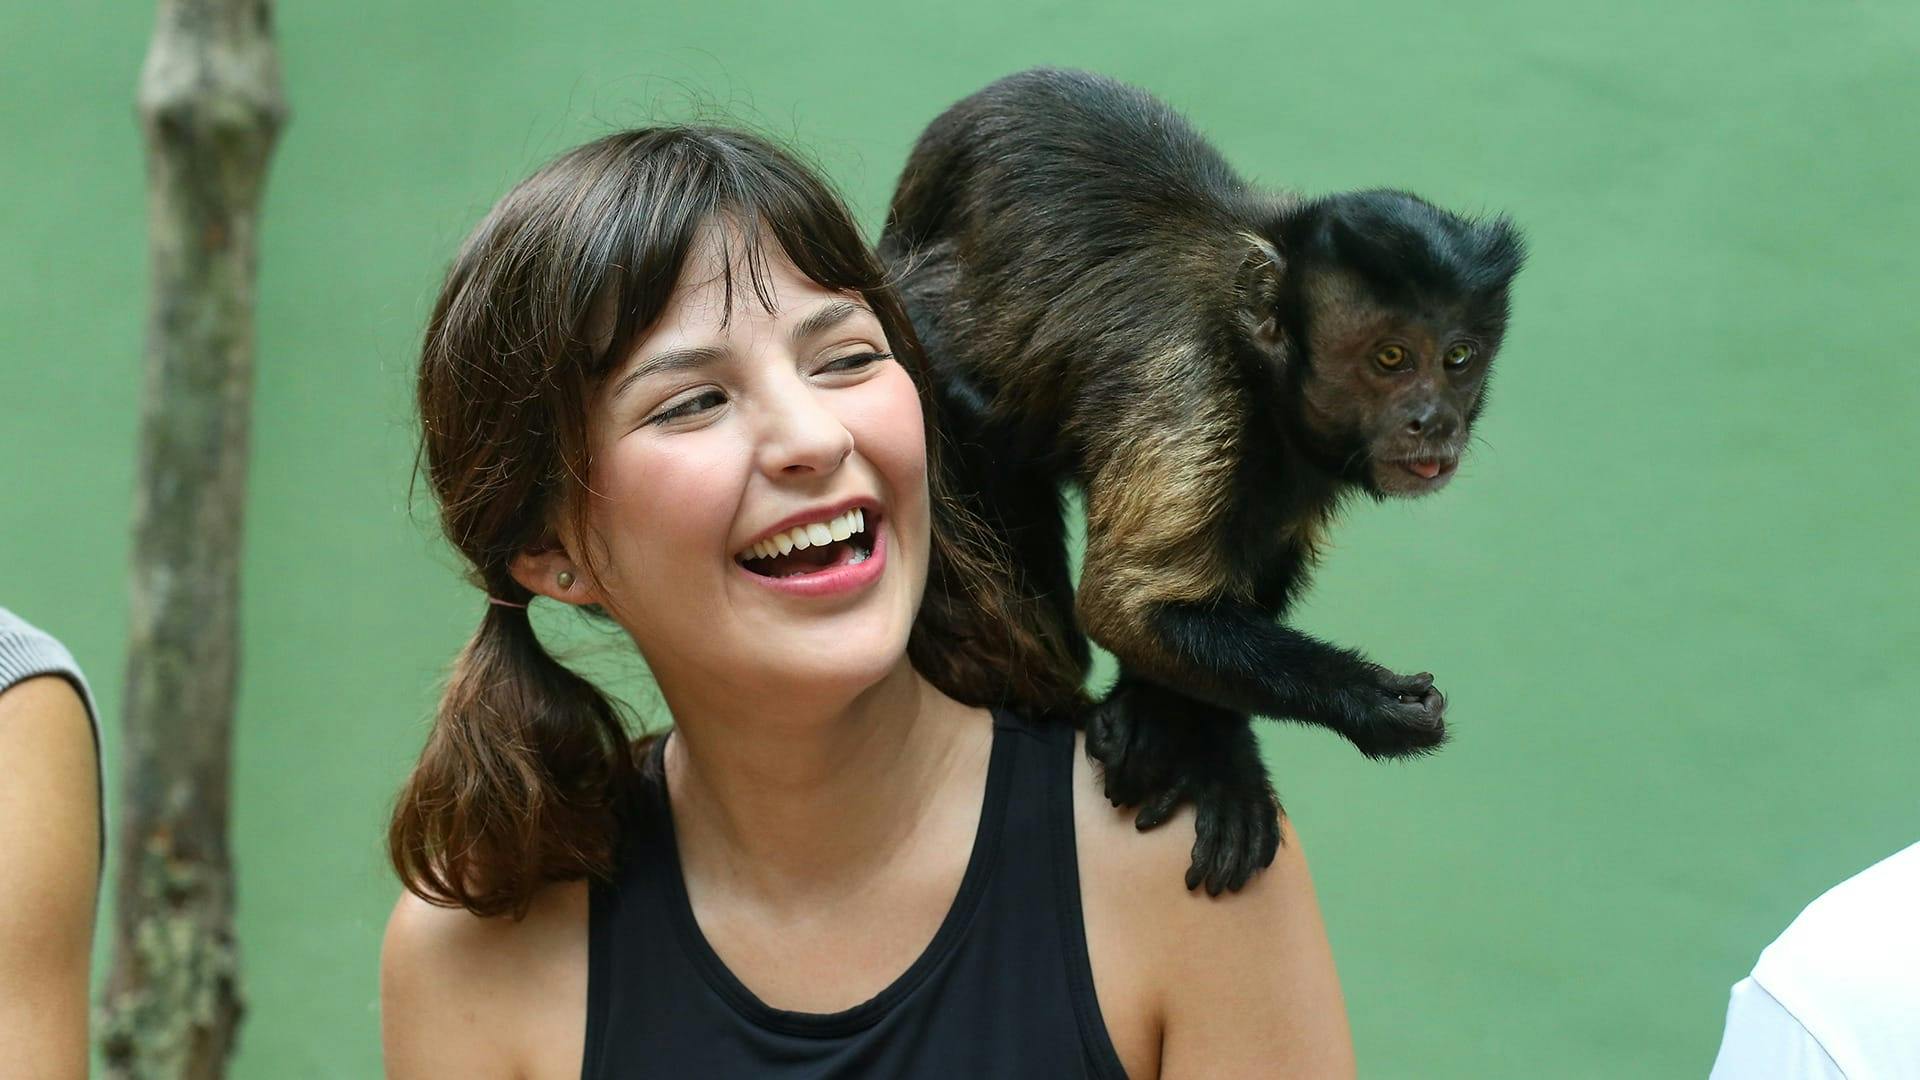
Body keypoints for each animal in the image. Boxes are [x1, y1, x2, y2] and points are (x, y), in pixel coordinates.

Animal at [877, 68, 1526, 894]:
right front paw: (1366, 704)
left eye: (1458, 358)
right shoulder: (1195, 393)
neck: (1261, 373)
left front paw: (1198, 740)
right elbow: (1124, 606)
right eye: (1390, 359)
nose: (1433, 420)